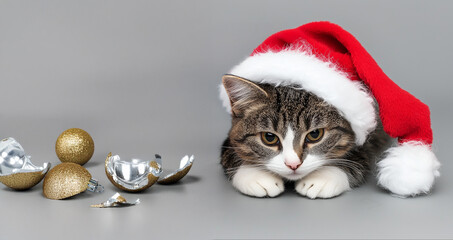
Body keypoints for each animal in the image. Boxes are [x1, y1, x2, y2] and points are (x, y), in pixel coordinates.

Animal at [221, 74, 390, 199]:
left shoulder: (368, 137)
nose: (293, 164)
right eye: (269, 137)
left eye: (315, 134)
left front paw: (323, 177)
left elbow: (358, 157)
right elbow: (231, 152)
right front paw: (255, 174)